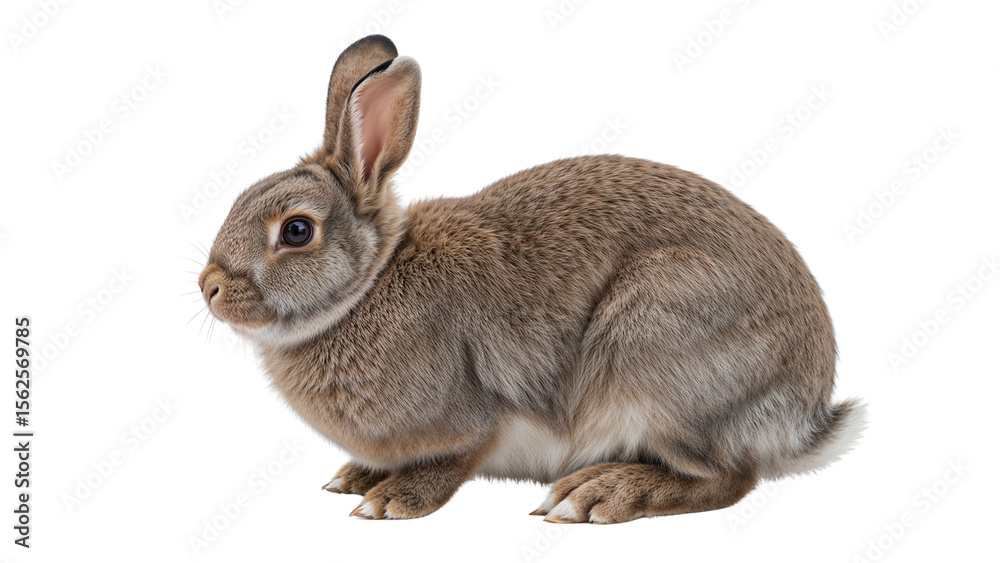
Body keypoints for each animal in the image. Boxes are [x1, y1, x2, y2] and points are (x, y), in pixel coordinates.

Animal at [199, 34, 866, 524]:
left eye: (296, 231)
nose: (209, 287)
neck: (369, 285)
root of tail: (801, 412)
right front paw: (356, 477)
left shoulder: (473, 418)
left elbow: (458, 457)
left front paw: (390, 501)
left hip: (657, 347)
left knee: (729, 478)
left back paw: (593, 496)